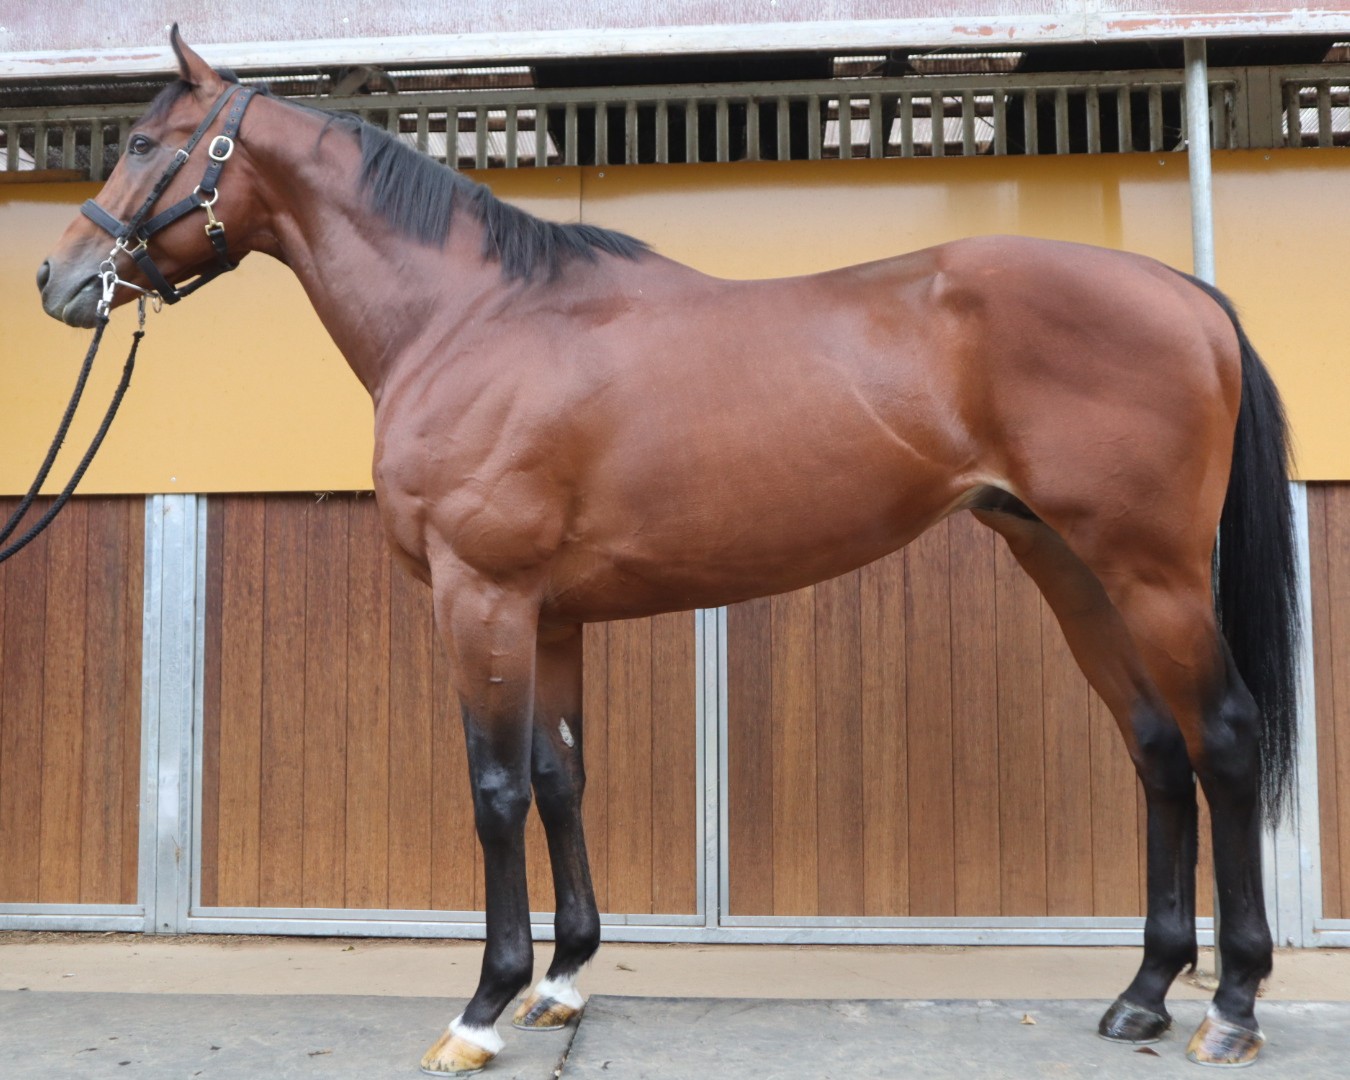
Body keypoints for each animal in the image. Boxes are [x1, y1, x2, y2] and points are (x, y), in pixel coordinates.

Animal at [38, 28, 1299, 1075]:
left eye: (143, 142)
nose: (59, 280)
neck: (471, 320)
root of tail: (1186, 294)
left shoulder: (482, 598)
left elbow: (496, 789)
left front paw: (481, 1010)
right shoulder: (549, 613)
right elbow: (561, 777)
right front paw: (561, 982)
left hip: (1152, 575)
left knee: (1224, 739)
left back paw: (1232, 1007)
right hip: (1071, 569)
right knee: (1155, 748)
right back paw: (1141, 994)